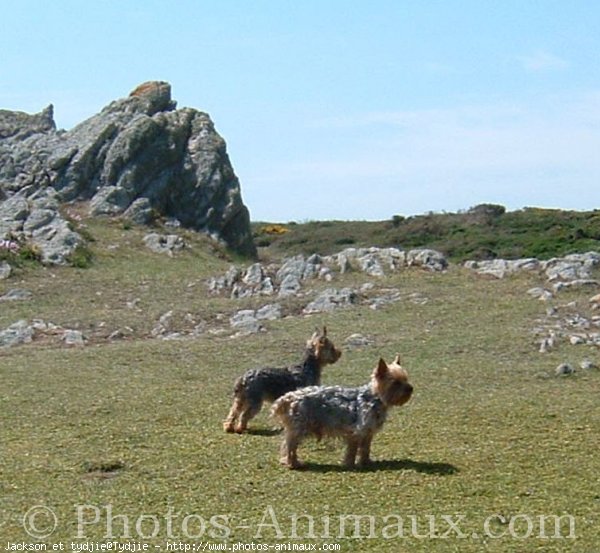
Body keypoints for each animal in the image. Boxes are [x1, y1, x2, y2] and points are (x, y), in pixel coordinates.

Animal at [272, 356, 412, 468]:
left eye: (406, 379)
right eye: (396, 383)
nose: (410, 388)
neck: (375, 397)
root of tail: (289, 397)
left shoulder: (368, 432)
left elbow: (366, 448)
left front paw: (366, 462)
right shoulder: (357, 431)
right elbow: (353, 450)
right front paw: (350, 464)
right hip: (300, 426)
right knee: (290, 446)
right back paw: (293, 463)